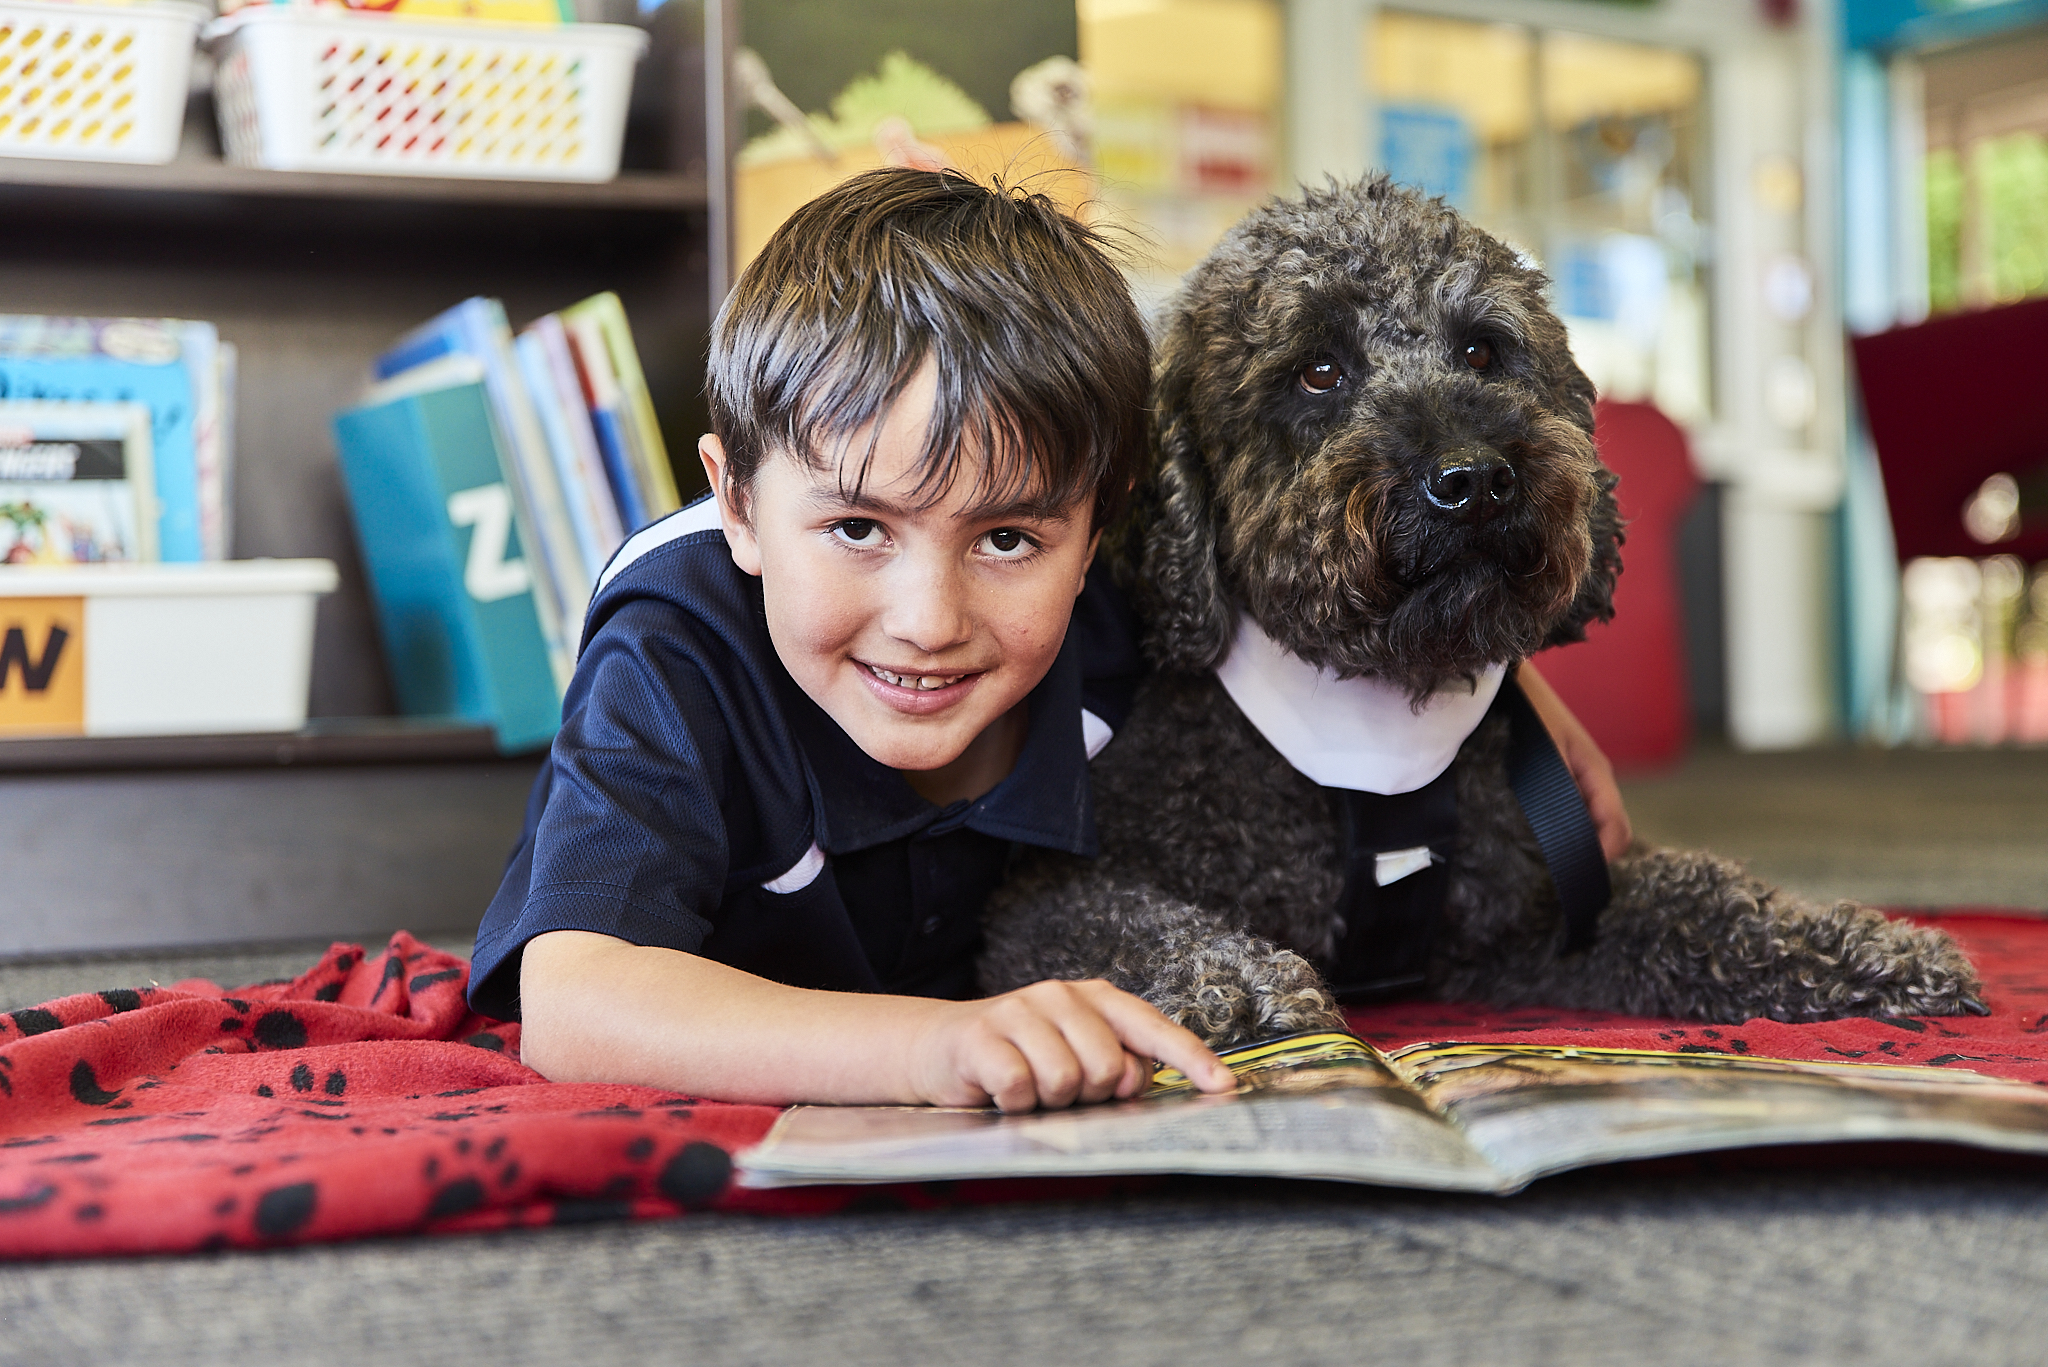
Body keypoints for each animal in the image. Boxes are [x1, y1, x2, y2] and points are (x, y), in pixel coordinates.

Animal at [974, 171, 1982, 1049]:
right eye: (1318, 370)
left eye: (1482, 351)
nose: (1475, 480)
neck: (1380, 709)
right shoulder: (1038, 897)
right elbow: (1123, 921)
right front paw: (1234, 979)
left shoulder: (1543, 908)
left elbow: (1706, 899)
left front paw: (1860, 946)